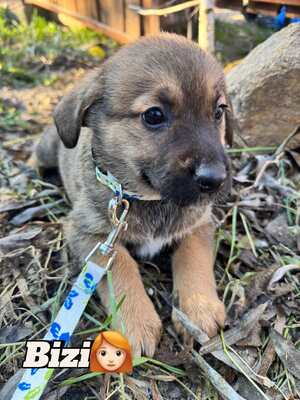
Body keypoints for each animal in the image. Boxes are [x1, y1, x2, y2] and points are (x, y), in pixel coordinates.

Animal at [34, 33, 232, 356]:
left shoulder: (199, 223)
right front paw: (136, 322)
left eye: (218, 112)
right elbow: (121, 267)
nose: (214, 180)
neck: (150, 198)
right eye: (154, 115)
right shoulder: (91, 234)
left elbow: (194, 256)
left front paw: (200, 307)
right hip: (48, 148)